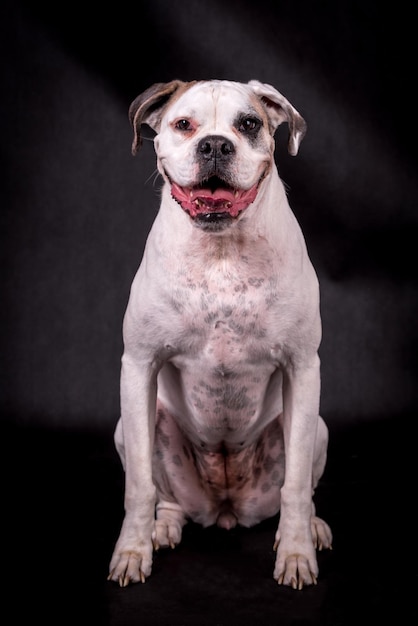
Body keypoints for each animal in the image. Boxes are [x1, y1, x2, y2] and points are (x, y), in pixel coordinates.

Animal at [108, 77, 334, 584]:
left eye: (248, 124)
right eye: (183, 125)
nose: (214, 144)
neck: (221, 251)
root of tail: (225, 508)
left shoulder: (303, 368)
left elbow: (295, 488)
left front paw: (295, 552)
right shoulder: (139, 366)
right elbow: (138, 486)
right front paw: (132, 549)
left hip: (317, 429)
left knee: (301, 487)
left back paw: (312, 528)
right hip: (133, 427)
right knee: (166, 496)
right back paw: (163, 527)